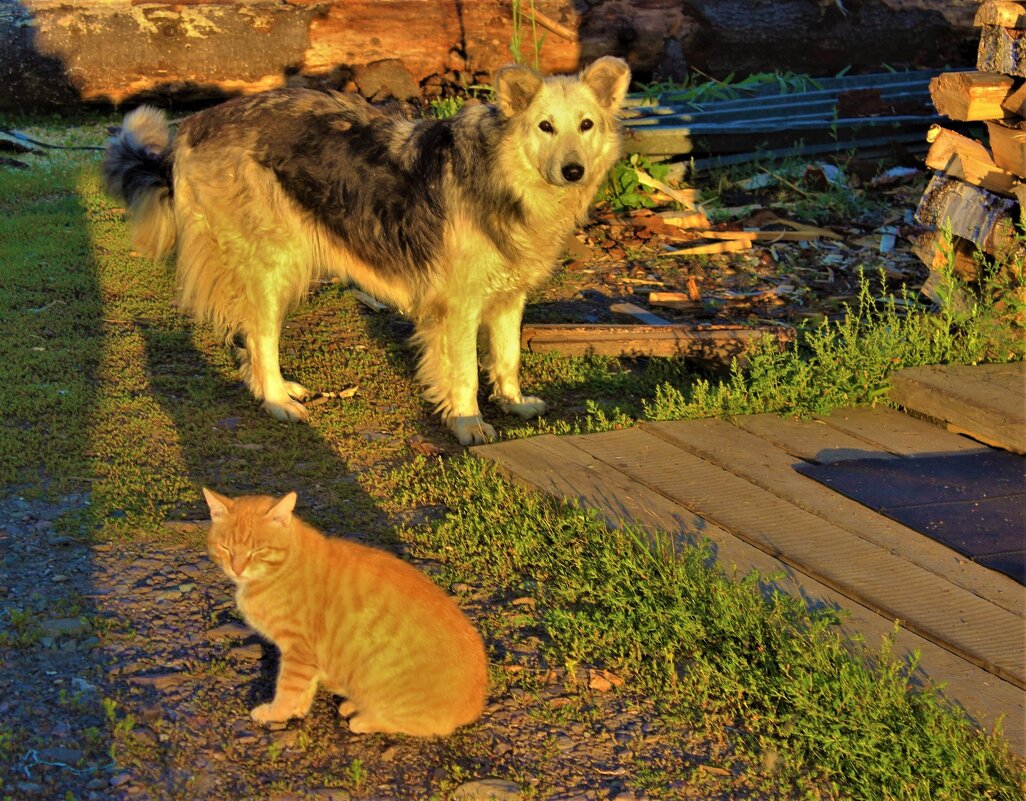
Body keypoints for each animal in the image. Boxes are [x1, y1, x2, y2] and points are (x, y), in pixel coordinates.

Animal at [106, 56, 632, 443]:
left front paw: (514, 402)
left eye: (586, 125)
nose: (573, 171)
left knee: (252, 336)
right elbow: (462, 371)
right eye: (545, 127)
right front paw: (467, 424)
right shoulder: (458, 306)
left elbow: (507, 356)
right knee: (261, 336)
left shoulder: (508, 296)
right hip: (274, 264)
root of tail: (197, 123)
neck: (502, 173)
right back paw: (276, 399)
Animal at [203, 484, 488, 734]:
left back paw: (363, 719)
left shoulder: (298, 650)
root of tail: (475, 703)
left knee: (419, 726)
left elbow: (287, 688)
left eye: (258, 551)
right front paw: (298, 709)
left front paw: (276, 713)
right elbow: (304, 686)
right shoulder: (306, 657)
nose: (237, 568)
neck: (279, 570)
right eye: (226, 548)